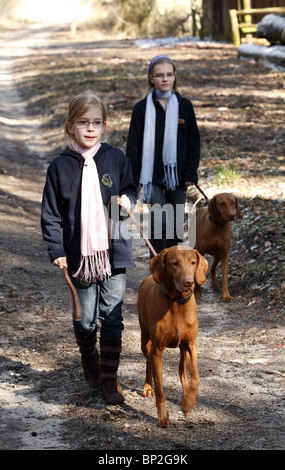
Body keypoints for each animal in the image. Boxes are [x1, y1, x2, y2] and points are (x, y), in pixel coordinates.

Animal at [136, 248, 207, 428]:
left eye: (193, 262)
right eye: (175, 263)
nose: (189, 282)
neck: (176, 302)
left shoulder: (191, 344)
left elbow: (195, 379)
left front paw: (187, 402)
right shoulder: (157, 350)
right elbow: (160, 389)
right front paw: (163, 417)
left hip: (183, 347)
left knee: (182, 369)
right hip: (145, 340)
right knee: (148, 361)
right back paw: (147, 386)